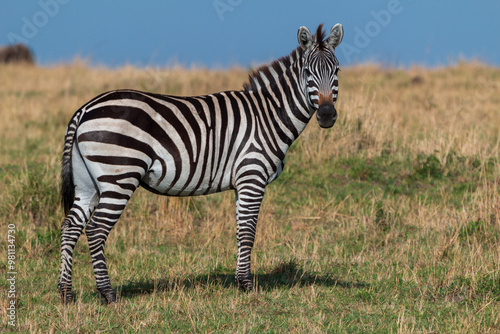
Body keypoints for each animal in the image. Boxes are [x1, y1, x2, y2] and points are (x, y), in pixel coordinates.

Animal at [56, 23, 342, 304]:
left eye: (337, 70)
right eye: (307, 73)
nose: (327, 115)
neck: (268, 116)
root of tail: (84, 109)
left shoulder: (242, 182)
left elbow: (240, 231)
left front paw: (240, 281)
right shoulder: (252, 176)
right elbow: (248, 233)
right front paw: (248, 286)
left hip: (87, 183)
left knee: (71, 227)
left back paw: (66, 293)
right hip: (119, 176)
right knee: (96, 230)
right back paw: (108, 294)